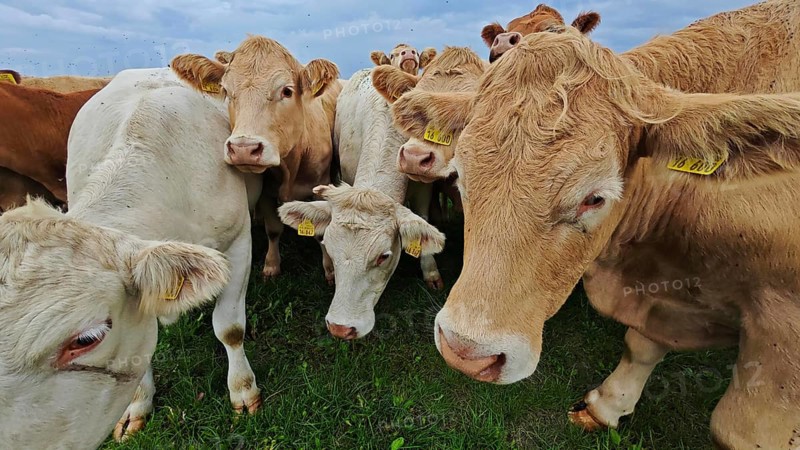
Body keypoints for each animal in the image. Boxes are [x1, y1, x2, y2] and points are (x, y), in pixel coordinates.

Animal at [171, 36, 341, 282]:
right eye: (226, 90)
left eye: (287, 91)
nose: (243, 148)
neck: (291, 166)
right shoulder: (266, 192)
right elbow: (273, 230)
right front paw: (271, 266)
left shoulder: (321, 184)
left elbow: (320, 232)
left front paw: (330, 270)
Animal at [277, 67, 446, 340]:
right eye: (329, 248)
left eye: (383, 257)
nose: (340, 328)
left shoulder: (423, 184)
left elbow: (423, 220)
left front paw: (430, 271)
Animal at [425, 13, 800, 450]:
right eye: (459, 178)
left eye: (594, 198)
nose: (466, 352)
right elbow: (641, 345)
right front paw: (608, 404)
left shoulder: (780, 332)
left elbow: (736, 429)